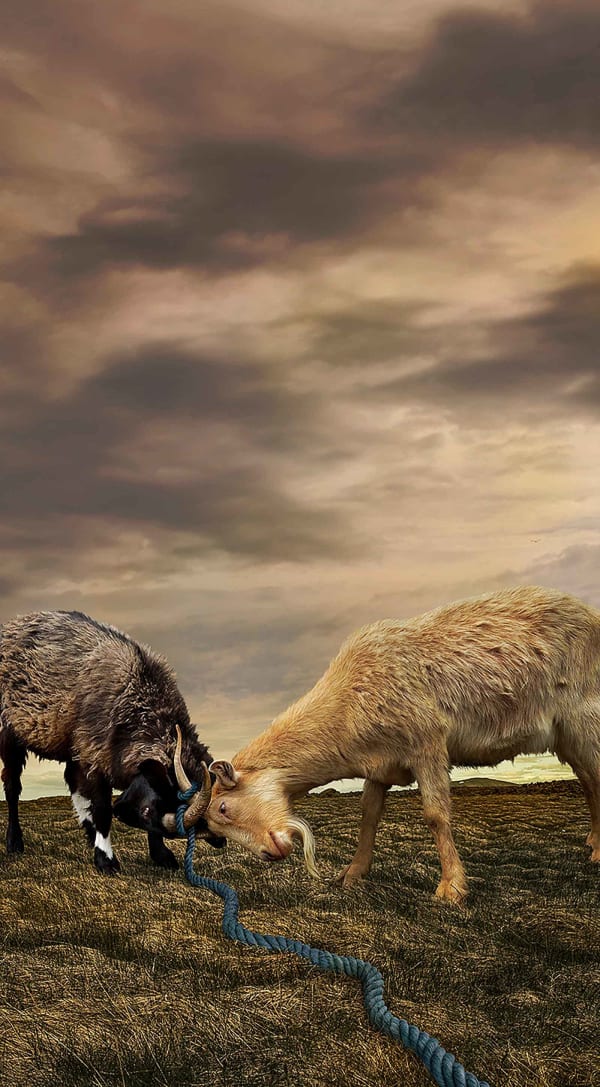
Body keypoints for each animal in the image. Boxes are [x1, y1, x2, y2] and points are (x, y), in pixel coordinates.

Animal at [0, 610, 224, 874]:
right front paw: (106, 859)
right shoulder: (94, 760)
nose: (221, 841)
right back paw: (15, 842)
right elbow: (102, 809)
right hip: (10, 733)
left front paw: (162, 856)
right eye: (146, 811)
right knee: (12, 786)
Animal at [174, 586, 600, 903]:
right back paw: (594, 843)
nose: (269, 853)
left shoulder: (427, 743)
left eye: (224, 808)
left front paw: (451, 888)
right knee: (588, 781)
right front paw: (352, 874)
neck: (349, 700)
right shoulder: (379, 764)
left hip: (586, 717)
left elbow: (435, 814)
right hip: (568, 736)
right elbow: (369, 815)